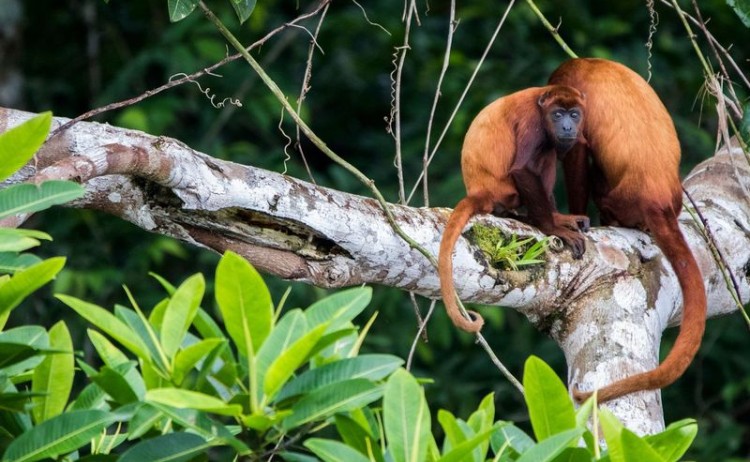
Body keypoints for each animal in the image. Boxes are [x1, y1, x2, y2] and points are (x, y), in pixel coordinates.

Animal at [439, 85, 590, 333]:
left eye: (574, 114)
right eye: (558, 114)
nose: (568, 127)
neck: (541, 104)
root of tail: (479, 191)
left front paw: (559, 220)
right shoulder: (532, 120)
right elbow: (523, 169)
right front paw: (552, 227)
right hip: (505, 193)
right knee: (546, 152)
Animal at [548, 57, 707, 403]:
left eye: (565, 116)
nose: (561, 125)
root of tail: (660, 201)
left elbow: (577, 149)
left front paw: (576, 218)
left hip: (620, 199)